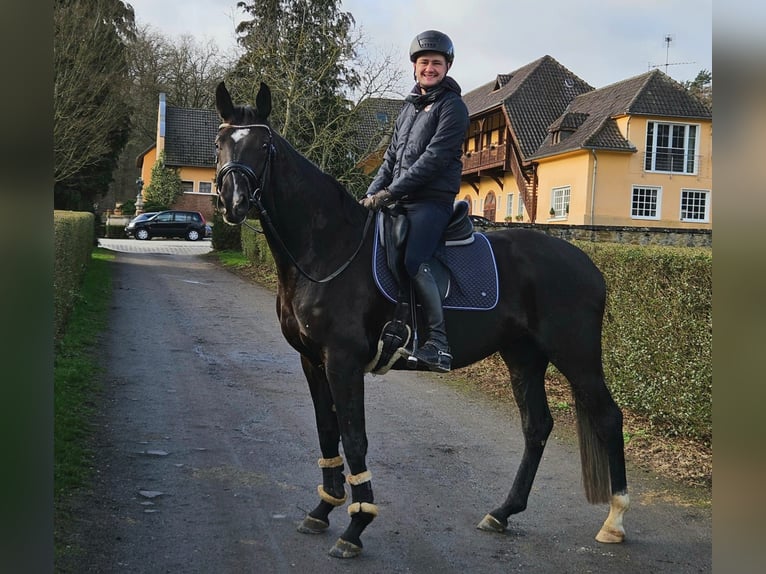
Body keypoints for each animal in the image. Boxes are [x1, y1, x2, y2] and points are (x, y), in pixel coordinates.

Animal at [212, 83, 632, 560]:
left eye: (263, 146)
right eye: (220, 143)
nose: (233, 202)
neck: (330, 249)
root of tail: (589, 265)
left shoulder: (343, 361)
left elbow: (354, 437)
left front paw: (355, 525)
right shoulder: (313, 361)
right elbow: (327, 431)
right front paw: (323, 509)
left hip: (575, 354)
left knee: (607, 417)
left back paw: (615, 520)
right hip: (523, 356)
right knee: (537, 426)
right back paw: (503, 512)